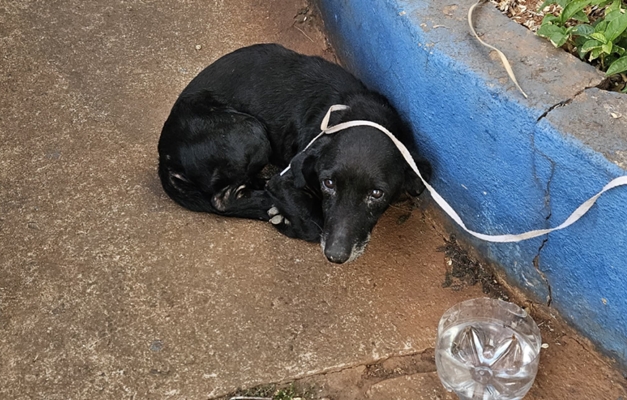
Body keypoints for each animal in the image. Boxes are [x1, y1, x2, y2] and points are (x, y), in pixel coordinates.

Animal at [158, 43, 432, 264]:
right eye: (328, 183)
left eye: (377, 194)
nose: (335, 256)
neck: (359, 116)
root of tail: (164, 153)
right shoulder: (286, 179)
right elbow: (314, 223)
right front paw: (287, 221)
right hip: (251, 132)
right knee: (221, 199)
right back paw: (267, 203)